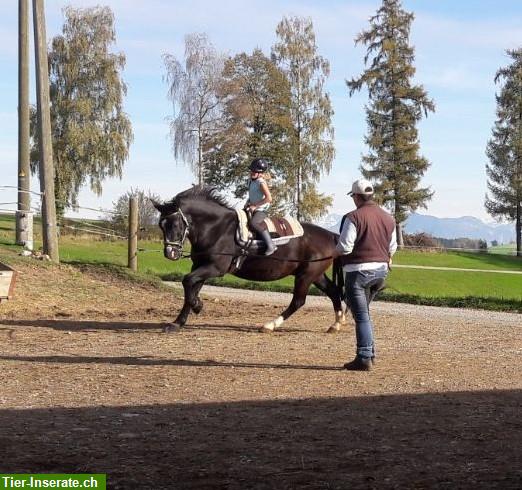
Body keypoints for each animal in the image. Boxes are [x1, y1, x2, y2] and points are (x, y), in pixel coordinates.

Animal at [151, 187, 346, 334]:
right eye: (162, 225)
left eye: (175, 224)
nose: (170, 252)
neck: (217, 228)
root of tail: (331, 235)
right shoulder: (199, 266)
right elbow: (191, 288)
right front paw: (178, 322)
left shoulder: (215, 268)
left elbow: (187, 281)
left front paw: (197, 306)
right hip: (315, 275)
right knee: (333, 291)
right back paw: (336, 324)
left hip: (306, 276)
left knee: (298, 301)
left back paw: (270, 325)